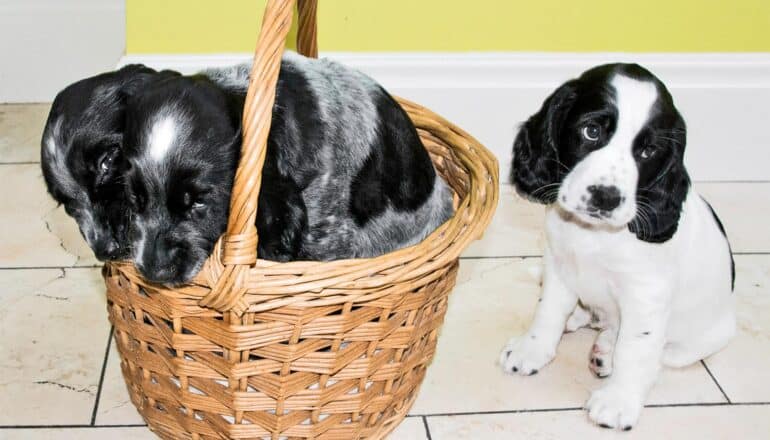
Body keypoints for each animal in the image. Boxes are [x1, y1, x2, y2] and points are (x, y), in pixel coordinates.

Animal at [496, 63, 736, 428]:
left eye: (648, 151)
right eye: (592, 131)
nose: (606, 198)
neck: (594, 234)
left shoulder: (646, 293)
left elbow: (636, 349)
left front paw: (619, 401)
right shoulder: (558, 265)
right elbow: (548, 311)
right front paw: (530, 350)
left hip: (706, 337)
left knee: (662, 352)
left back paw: (607, 352)